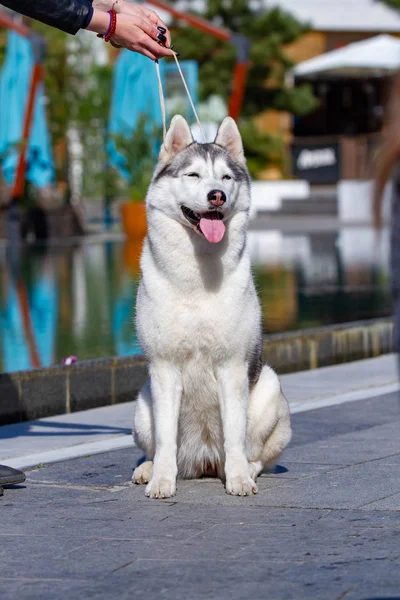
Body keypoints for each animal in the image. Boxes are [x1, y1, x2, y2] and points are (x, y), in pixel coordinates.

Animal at [133, 115, 292, 500]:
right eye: (193, 175)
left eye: (226, 177)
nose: (215, 195)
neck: (198, 276)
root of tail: (203, 461)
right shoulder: (164, 369)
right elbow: (165, 440)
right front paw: (162, 480)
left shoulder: (231, 368)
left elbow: (235, 436)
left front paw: (238, 480)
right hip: (142, 405)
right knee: (155, 446)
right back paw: (147, 468)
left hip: (271, 391)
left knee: (254, 452)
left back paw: (245, 469)